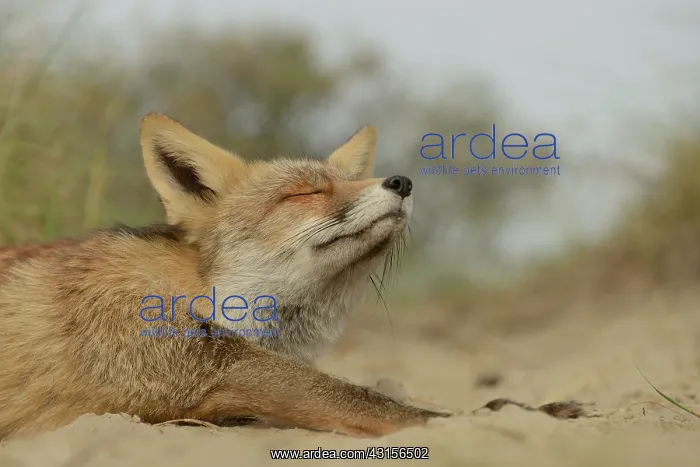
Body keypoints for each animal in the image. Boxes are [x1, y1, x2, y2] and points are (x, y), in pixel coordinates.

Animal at [0, 113, 451, 440]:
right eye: (305, 193)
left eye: (350, 181)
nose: (402, 181)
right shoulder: (195, 368)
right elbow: (365, 399)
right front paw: (444, 424)